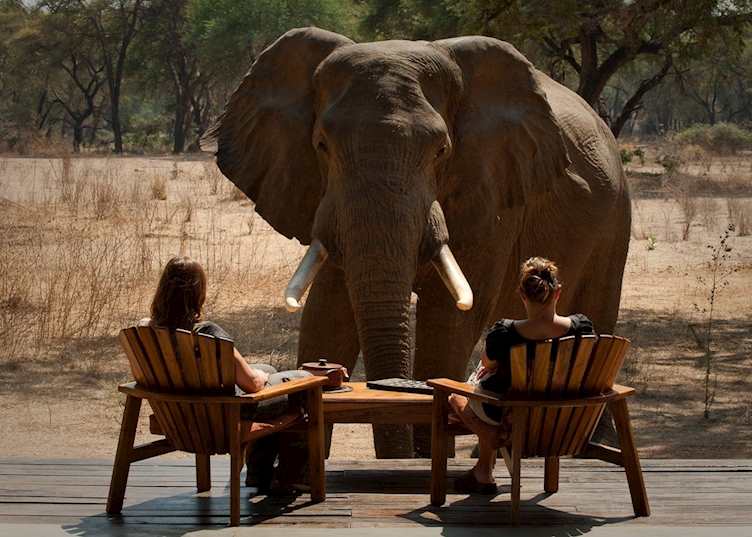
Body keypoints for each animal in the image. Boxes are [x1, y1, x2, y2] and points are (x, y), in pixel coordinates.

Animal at [206, 27, 630, 458]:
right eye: (322, 145)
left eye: (441, 150)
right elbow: (328, 311)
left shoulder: (491, 189)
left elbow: (450, 317)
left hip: (616, 217)